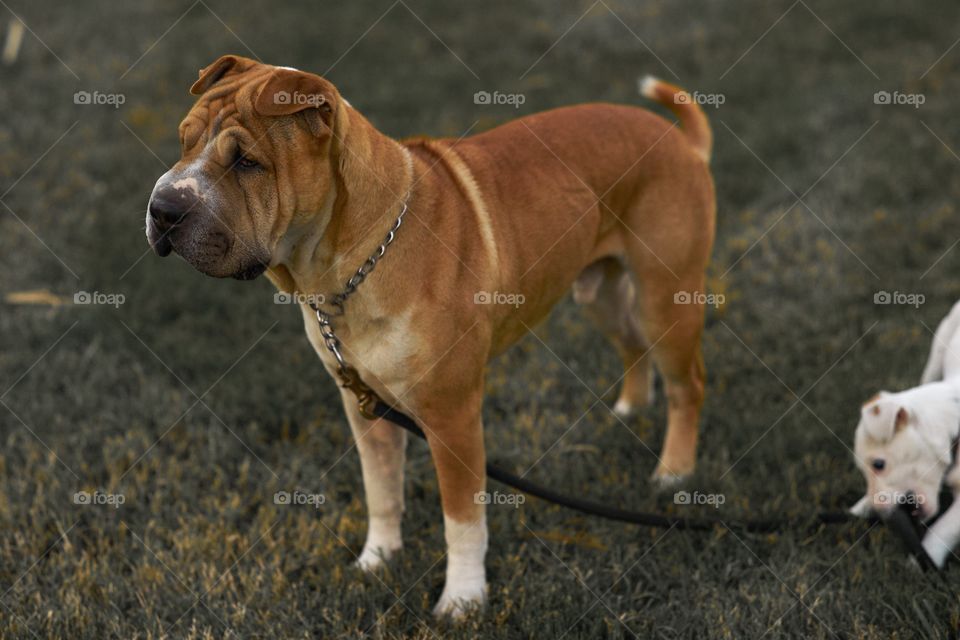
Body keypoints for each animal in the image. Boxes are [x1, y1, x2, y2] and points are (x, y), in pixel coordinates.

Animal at [144, 57, 712, 616]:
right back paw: (631, 408)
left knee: (688, 385)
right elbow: (382, 490)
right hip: (600, 294)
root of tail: (681, 142)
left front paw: (462, 599)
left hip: (665, 298)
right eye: (184, 141)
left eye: (246, 163)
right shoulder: (363, 406)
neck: (351, 263)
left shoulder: (452, 416)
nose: (163, 209)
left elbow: (462, 520)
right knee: (632, 344)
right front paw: (377, 560)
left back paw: (674, 473)